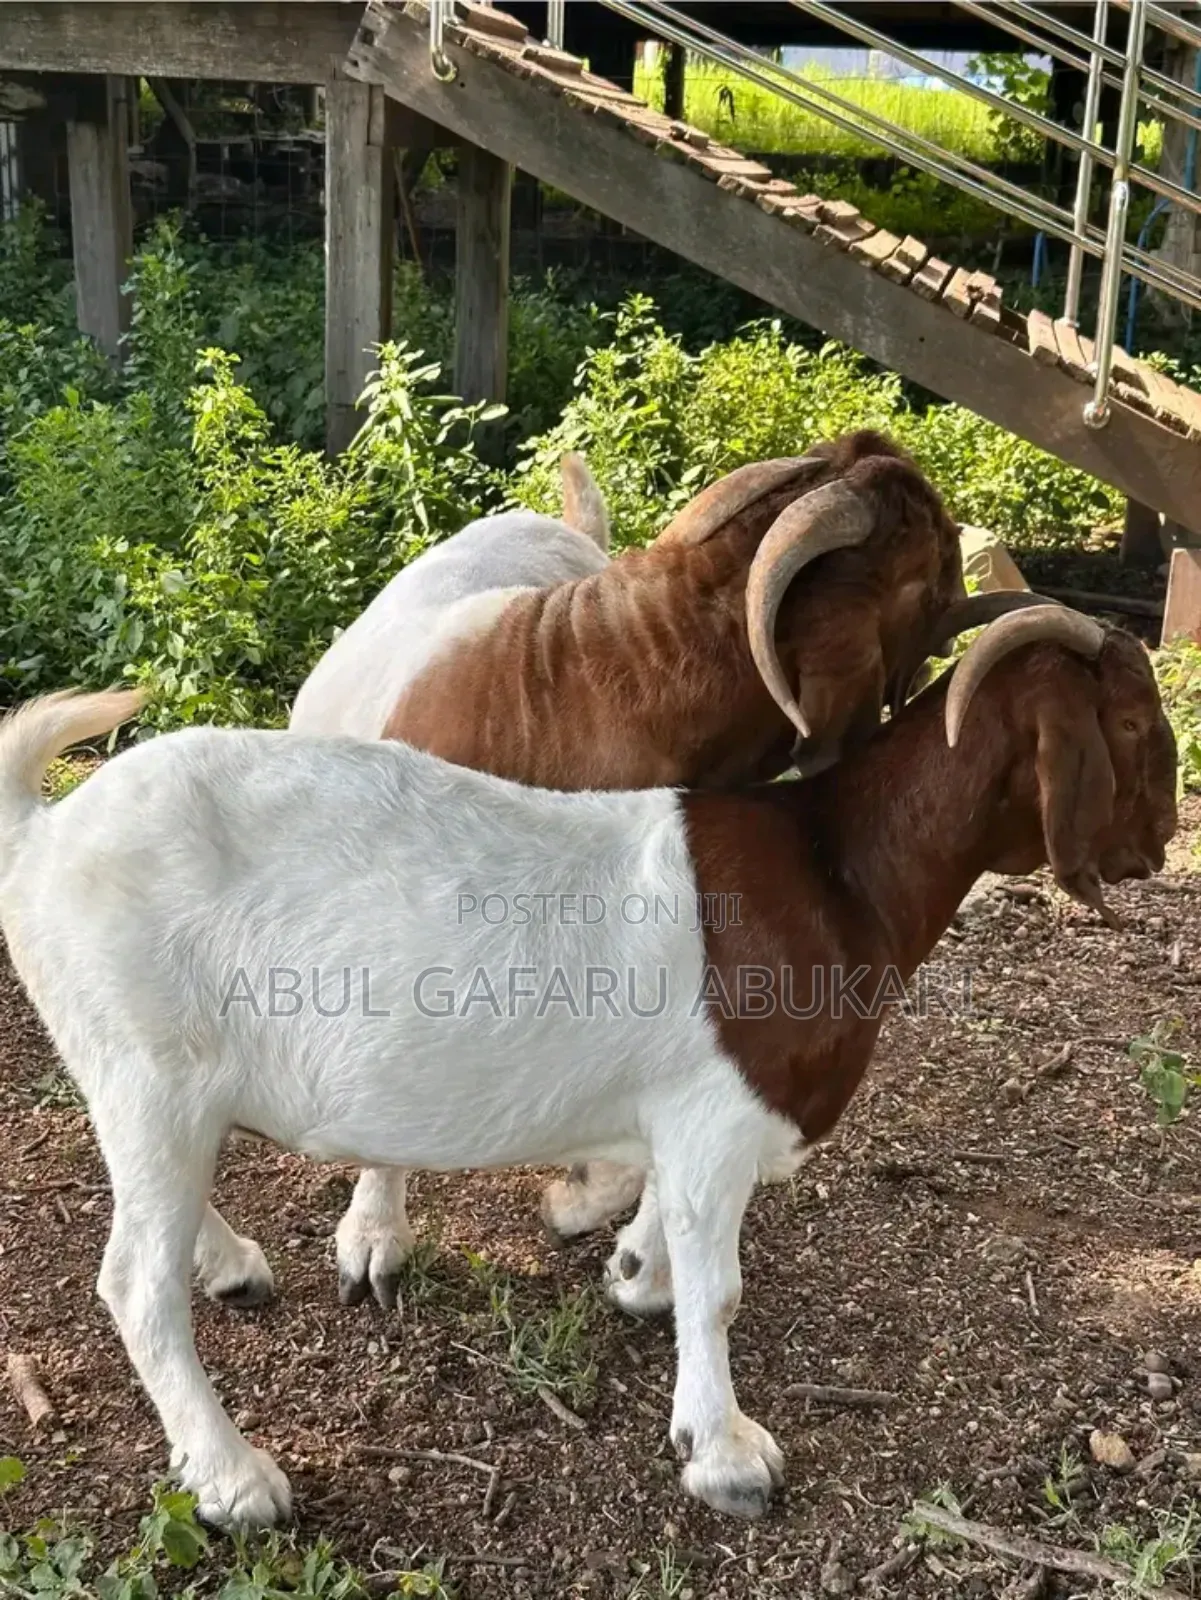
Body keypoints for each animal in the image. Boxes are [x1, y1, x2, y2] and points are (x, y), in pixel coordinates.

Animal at [0, 606, 1175, 1528]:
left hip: (138, 1077)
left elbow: (663, 1225)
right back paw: (235, 1478)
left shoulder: (688, 1121)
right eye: (1125, 724)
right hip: (152, 1071)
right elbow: (719, 1287)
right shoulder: (717, 1116)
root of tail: (42, 834)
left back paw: (233, 1263)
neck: (835, 872)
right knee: (134, 1283)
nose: (1160, 841)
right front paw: (725, 1453)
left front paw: (629, 1261)